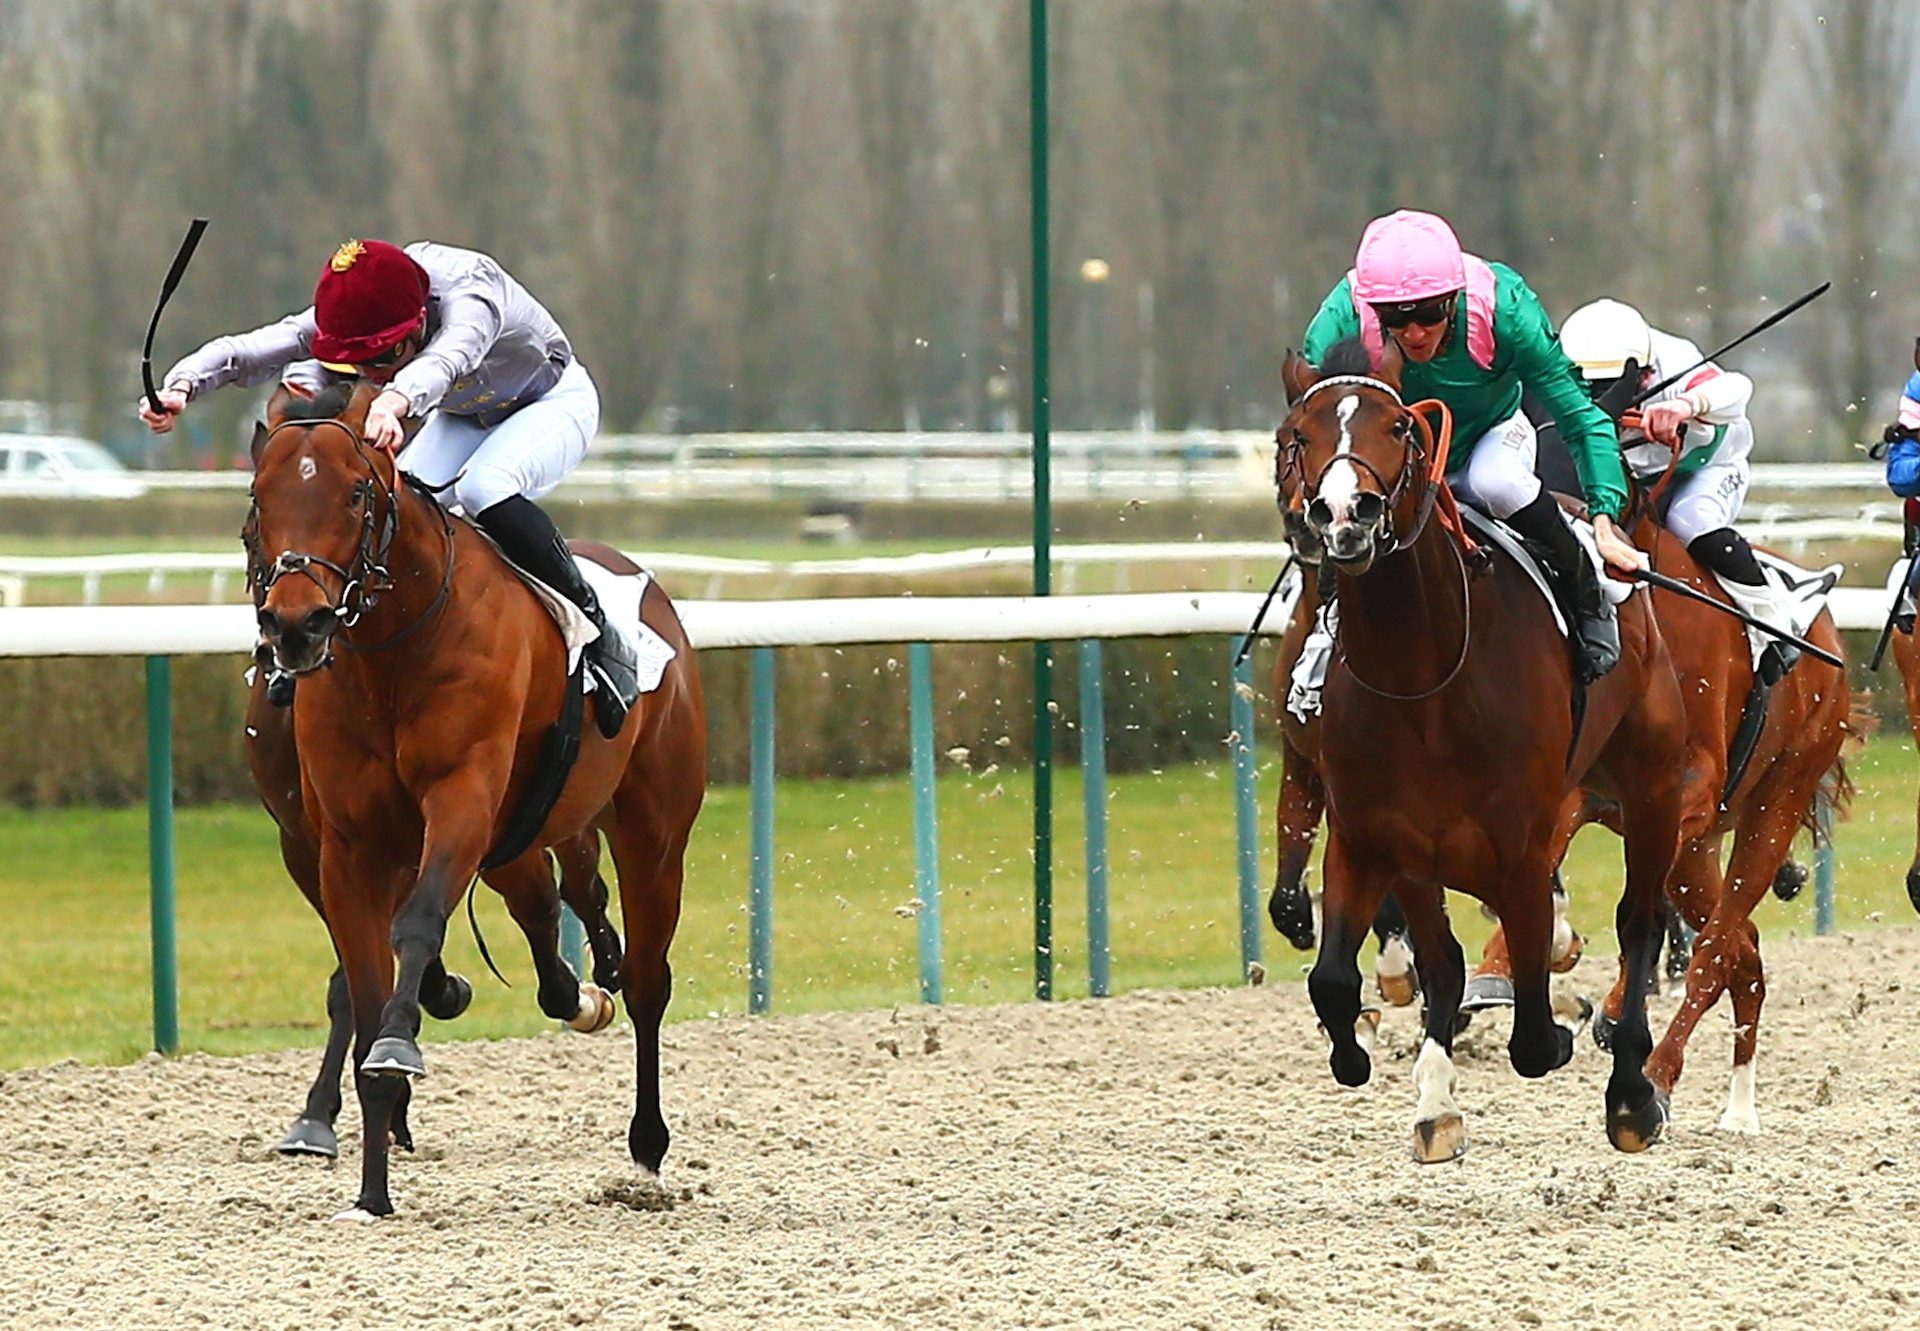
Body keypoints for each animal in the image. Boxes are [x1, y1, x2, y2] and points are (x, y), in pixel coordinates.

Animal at [247, 376, 706, 1213]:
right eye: (259, 497)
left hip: (654, 829)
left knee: (651, 980)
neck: (394, 653)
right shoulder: (339, 846)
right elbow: (361, 983)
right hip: (519, 838)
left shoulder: (461, 801)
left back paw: (647, 1145)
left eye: (357, 492)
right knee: (553, 909)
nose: (296, 625)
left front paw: (399, 1045)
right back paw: (583, 988)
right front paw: (372, 1187)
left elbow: (419, 923)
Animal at [1282, 338, 1689, 1160]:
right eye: (1298, 435)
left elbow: (1533, 1025)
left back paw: (1632, 1094)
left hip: (1653, 786)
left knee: (1638, 918)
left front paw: (1566, 1036)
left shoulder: (1522, 848)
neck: (1424, 680)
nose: (1344, 514)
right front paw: (1405, 1086)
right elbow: (1345, 979)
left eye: (1400, 427)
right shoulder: (1374, 839)